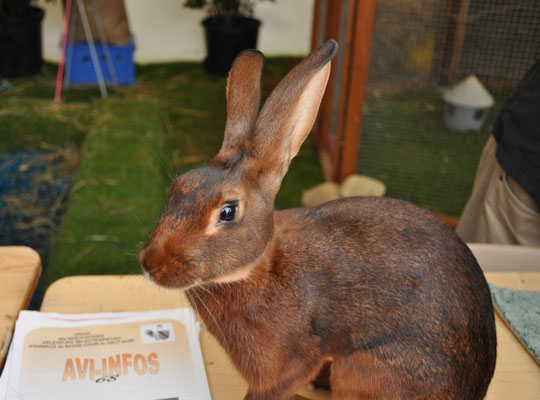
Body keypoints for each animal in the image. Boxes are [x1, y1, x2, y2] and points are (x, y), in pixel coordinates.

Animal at [137, 41, 496, 400]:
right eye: (177, 186)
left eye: (227, 212)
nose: (150, 263)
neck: (255, 268)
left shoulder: (288, 366)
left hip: (367, 371)